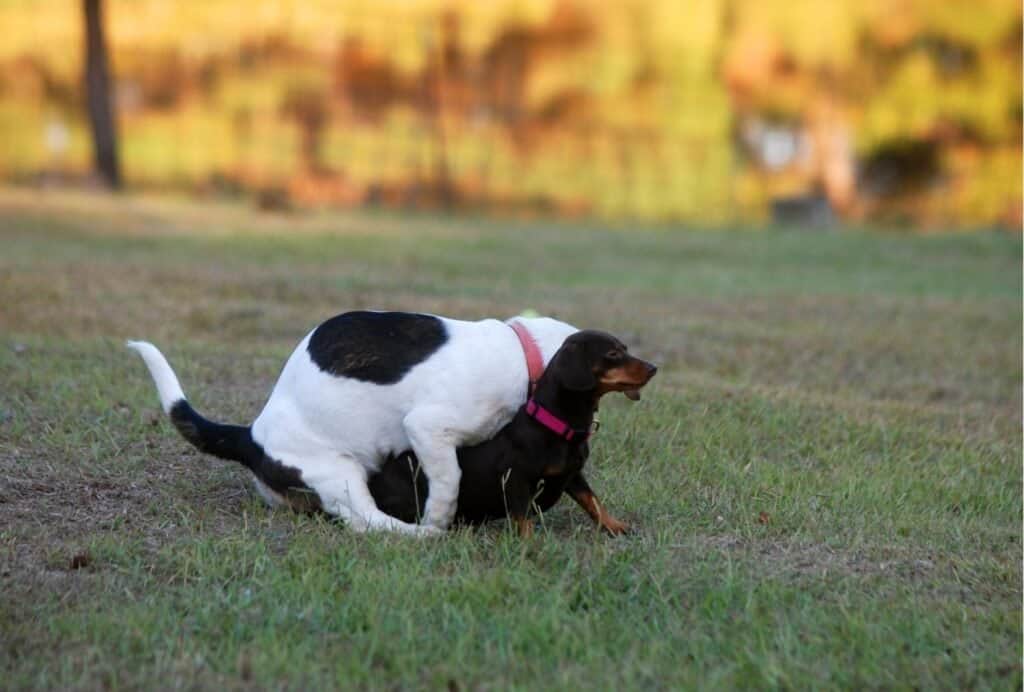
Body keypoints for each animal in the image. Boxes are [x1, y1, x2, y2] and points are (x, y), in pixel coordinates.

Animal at [128, 311, 581, 536]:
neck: (521, 351)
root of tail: (252, 438)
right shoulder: (428, 427)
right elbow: (449, 479)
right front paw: (438, 517)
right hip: (339, 473)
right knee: (366, 522)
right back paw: (420, 534)